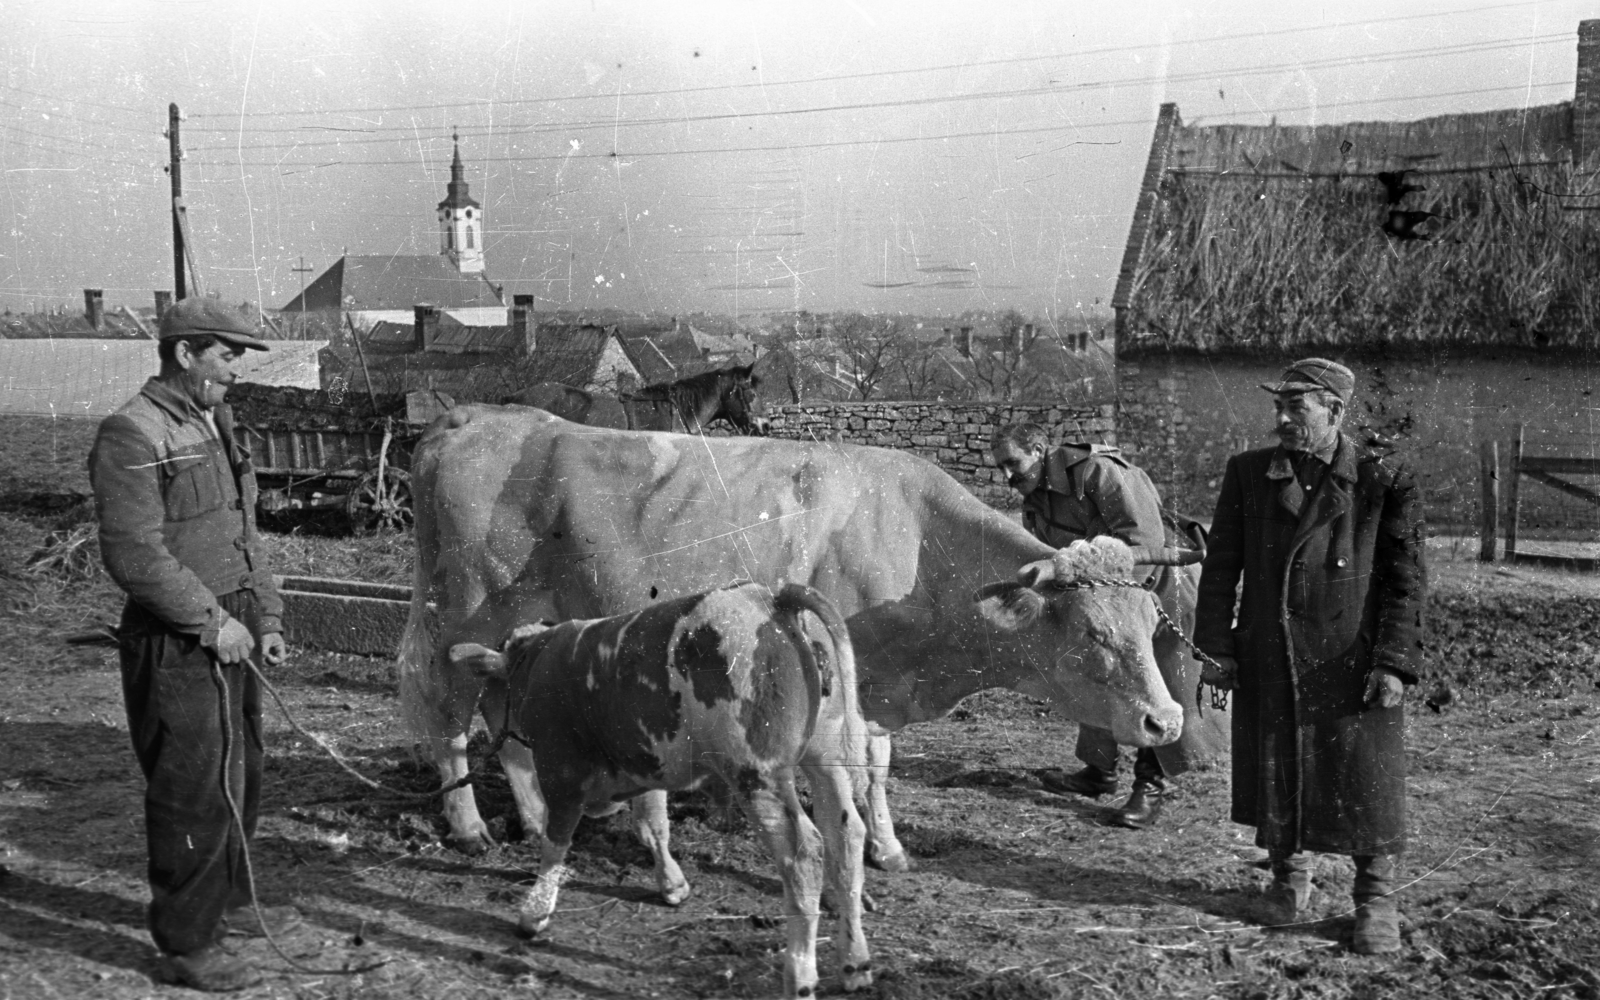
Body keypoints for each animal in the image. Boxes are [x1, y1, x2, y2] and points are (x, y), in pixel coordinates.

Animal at [396, 405, 1186, 881]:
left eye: (1151, 622)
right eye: (1091, 631)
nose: (1166, 720)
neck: (917, 542)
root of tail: (477, 417)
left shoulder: (878, 686)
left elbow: (879, 767)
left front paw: (888, 846)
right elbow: (850, 767)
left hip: (520, 623)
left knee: (502, 707)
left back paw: (536, 818)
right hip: (460, 612)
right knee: (446, 709)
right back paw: (470, 828)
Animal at [447, 581, 871, 998]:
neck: (539, 659)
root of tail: (769, 596)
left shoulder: (560, 769)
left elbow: (557, 840)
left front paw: (535, 911)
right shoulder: (646, 759)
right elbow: (653, 826)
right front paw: (672, 883)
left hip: (758, 773)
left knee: (804, 855)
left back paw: (800, 975)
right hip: (826, 758)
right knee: (846, 835)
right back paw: (855, 962)